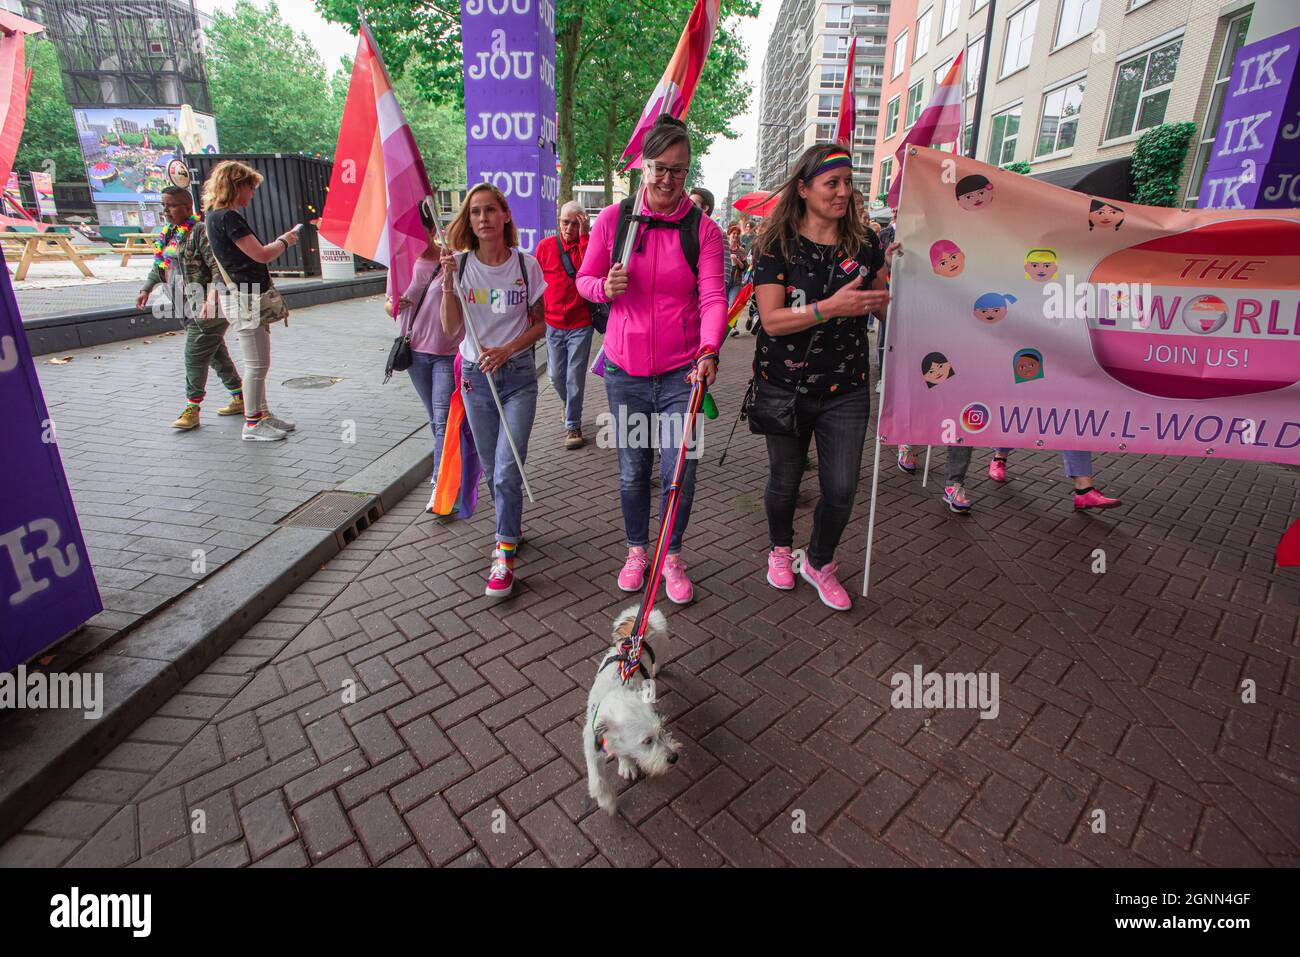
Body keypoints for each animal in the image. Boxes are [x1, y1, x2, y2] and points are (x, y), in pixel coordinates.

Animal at [585, 605, 686, 816]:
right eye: (647, 741)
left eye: (661, 730)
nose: (674, 757)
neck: (618, 691)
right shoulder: (591, 742)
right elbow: (597, 779)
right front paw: (607, 801)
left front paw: (626, 763)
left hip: (662, 648)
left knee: (658, 662)